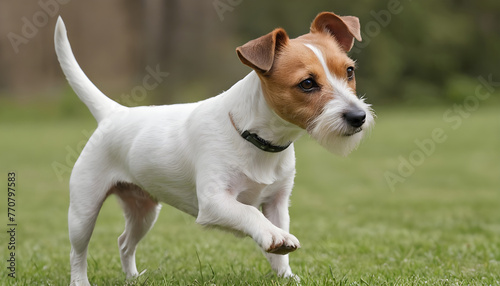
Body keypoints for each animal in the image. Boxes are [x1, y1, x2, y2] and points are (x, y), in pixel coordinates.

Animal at [55, 12, 376, 286]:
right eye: (307, 83)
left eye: (349, 71)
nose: (358, 117)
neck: (255, 139)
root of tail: (113, 113)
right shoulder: (214, 202)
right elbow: (251, 215)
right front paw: (272, 237)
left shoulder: (277, 203)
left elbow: (278, 248)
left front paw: (285, 276)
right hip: (83, 212)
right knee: (77, 253)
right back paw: (80, 281)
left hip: (143, 211)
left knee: (124, 242)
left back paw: (133, 278)